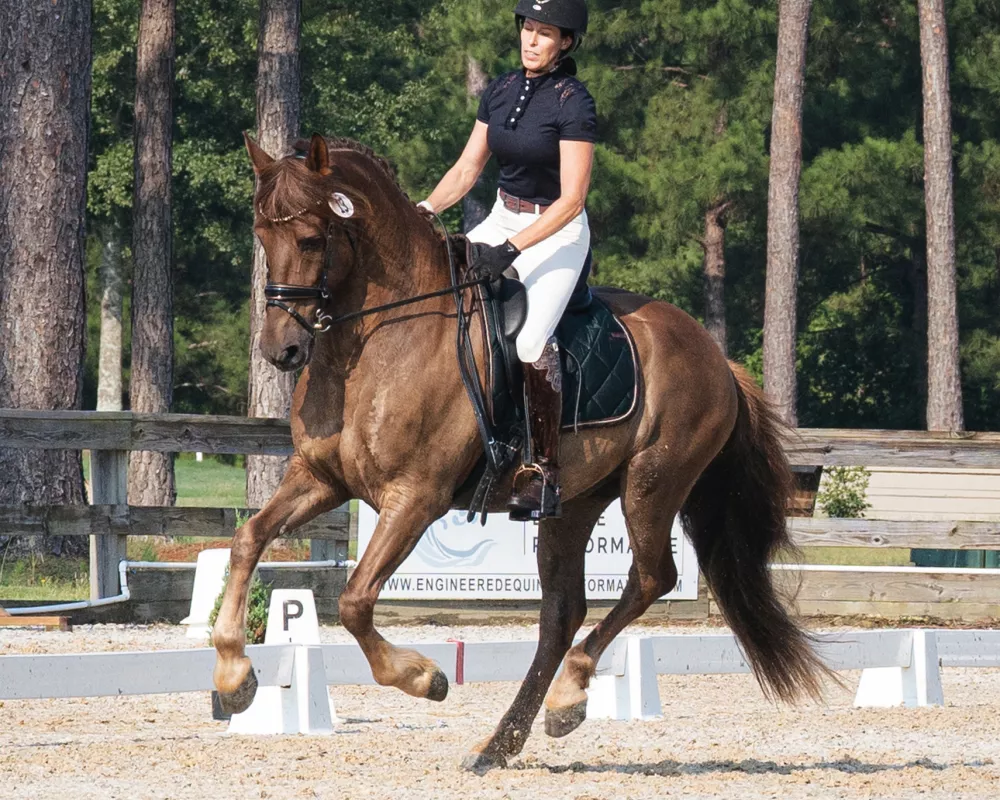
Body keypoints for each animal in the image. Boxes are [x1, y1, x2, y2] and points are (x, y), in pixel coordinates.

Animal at [213, 134, 828, 772]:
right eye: (262, 235)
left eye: (312, 239)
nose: (281, 350)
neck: (379, 340)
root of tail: (718, 358)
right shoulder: (319, 478)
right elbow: (248, 539)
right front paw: (234, 677)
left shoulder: (415, 497)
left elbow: (356, 600)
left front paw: (424, 677)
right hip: (574, 503)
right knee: (562, 614)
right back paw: (502, 741)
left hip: (653, 483)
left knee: (651, 578)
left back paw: (569, 692)